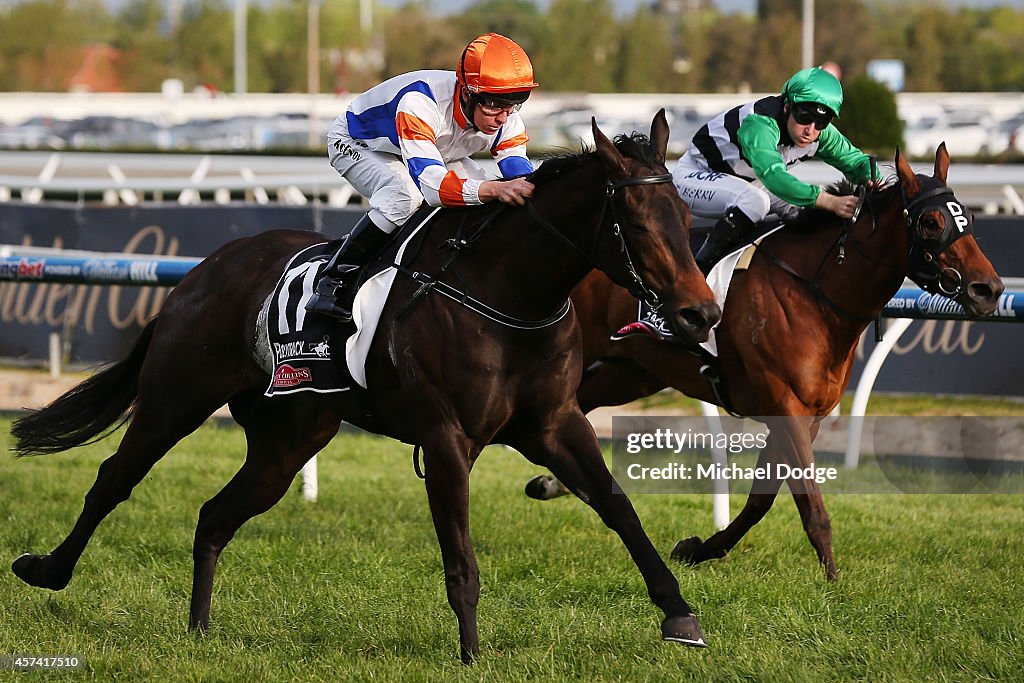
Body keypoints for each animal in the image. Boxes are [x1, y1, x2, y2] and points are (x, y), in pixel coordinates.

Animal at [12, 112, 724, 663]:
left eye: (686, 214)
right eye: (637, 224)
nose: (701, 314)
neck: (506, 294)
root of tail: (203, 270)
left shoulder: (554, 424)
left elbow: (618, 506)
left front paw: (679, 614)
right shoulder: (446, 438)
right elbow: (461, 556)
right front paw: (471, 654)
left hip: (288, 438)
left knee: (214, 515)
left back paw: (199, 630)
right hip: (176, 396)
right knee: (114, 478)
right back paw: (45, 569)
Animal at [540, 144, 1003, 581]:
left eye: (969, 219)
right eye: (931, 223)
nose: (989, 290)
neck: (814, 292)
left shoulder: (807, 413)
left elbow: (761, 499)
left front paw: (697, 549)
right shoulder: (785, 404)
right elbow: (810, 504)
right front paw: (833, 582)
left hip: (633, 373)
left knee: (579, 404)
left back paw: (552, 482)